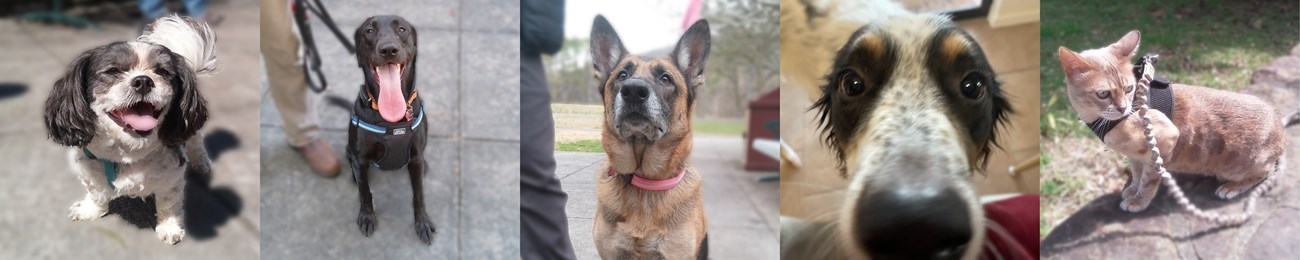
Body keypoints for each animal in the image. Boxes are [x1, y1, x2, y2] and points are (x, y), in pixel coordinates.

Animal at [41, 15, 217, 244]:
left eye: (162, 72)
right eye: (113, 71)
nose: (143, 80)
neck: (126, 151)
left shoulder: (172, 176)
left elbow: (169, 203)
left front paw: (169, 227)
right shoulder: (90, 165)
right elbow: (95, 192)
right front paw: (90, 210)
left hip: (191, 134)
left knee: (196, 142)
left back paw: (201, 162)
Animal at [345, 15, 436, 244]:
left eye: (402, 29)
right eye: (368, 31)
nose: (388, 50)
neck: (392, 120)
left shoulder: (416, 157)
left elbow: (419, 193)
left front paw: (422, 222)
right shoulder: (361, 158)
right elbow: (365, 192)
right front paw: (367, 217)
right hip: (349, 150)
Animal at [1055, 30, 1289, 217]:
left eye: (1129, 89)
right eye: (1103, 94)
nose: (1123, 108)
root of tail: (1280, 124)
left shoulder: (1162, 143)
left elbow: (1148, 181)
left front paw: (1138, 201)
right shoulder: (1135, 157)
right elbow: (1136, 175)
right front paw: (1132, 190)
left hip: (1238, 166)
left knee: (1266, 173)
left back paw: (1231, 188)